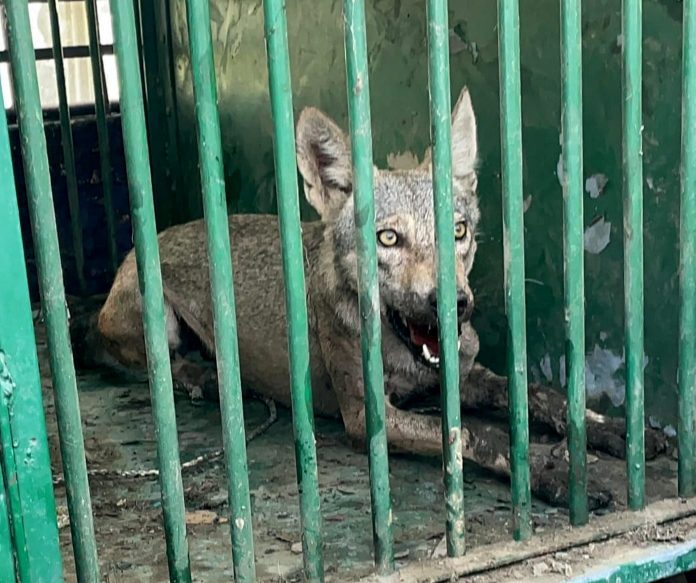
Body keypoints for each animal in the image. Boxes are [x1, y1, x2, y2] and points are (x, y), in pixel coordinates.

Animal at [75, 87, 667, 508]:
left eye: (458, 231)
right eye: (387, 238)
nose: (454, 305)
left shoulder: (467, 375)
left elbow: (541, 396)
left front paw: (619, 430)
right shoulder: (371, 418)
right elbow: (477, 436)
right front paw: (552, 471)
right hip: (158, 322)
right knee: (157, 365)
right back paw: (201, 374)